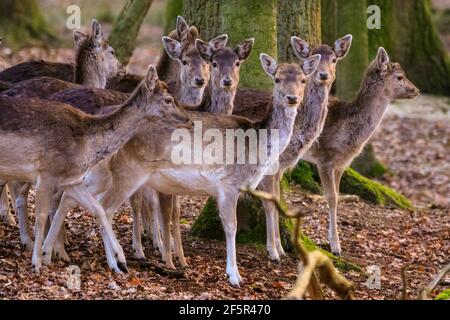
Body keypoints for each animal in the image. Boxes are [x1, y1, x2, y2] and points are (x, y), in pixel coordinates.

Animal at [0, 65, 192, 272]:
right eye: (168, 99)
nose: (189, 121)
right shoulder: (46, 173)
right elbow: (41, 216)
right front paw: (36, 263)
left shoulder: (71, 181)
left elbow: (98, 209)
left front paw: (121, 259)